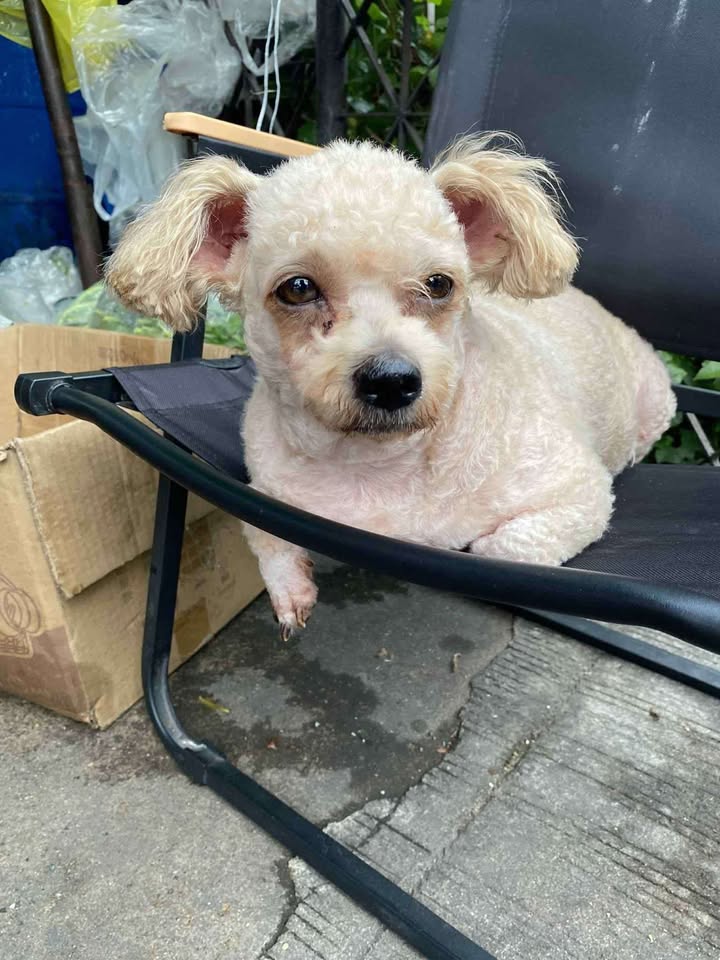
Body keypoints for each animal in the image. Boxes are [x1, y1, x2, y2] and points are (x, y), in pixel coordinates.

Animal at [107, 135, 675, 638]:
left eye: (439, 284)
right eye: (298, 289)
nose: (392, 381)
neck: (374, 467)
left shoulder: (579, 492)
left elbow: (499, 547)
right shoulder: (264, 488)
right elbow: (261, 532)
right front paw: (291, 591)